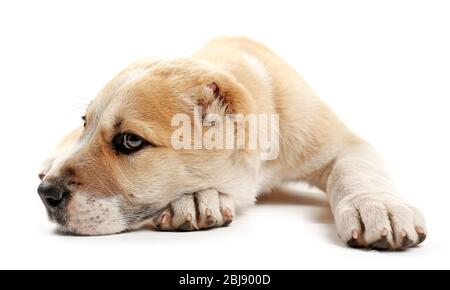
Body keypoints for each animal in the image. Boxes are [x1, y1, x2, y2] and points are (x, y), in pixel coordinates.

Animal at [37, 36, 426, 249]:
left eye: (130, 141)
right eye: (86, 124)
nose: (46, 194)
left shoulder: (344, 143)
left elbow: (357, 170)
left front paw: (377, 207)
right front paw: (196, 200)